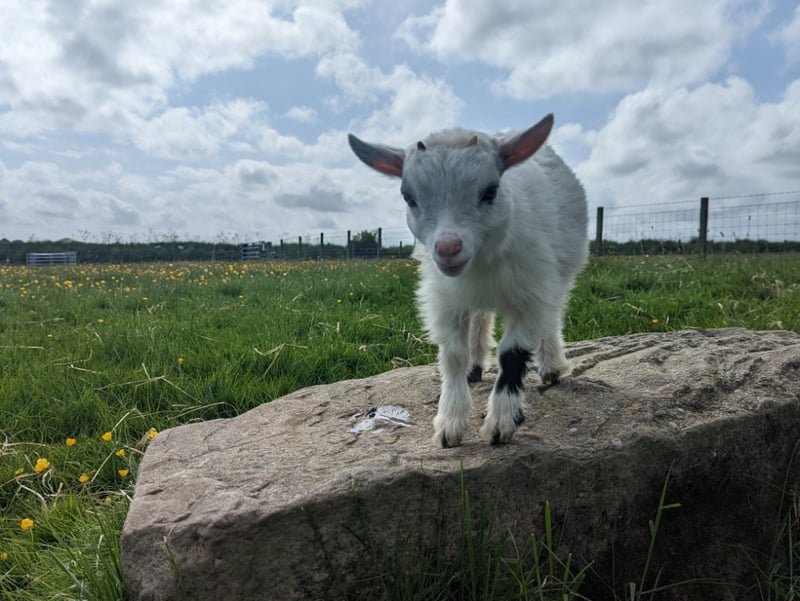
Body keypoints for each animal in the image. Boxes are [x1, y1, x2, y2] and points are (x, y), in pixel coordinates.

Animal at [348, 114, 588, 447]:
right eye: (409, 197)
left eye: (490, 191)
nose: (448, 249)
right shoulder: (444, 299)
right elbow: (452, 355)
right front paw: (450, 423)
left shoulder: (531, 292)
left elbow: (512, 355)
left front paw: (501, 422)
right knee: (480, 317)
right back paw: (475, 368)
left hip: (561, 272)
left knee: (552, 316)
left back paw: (551, 366)